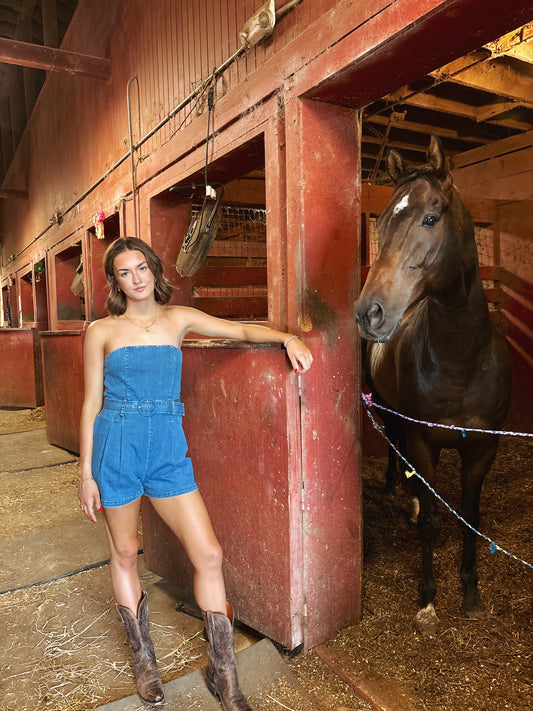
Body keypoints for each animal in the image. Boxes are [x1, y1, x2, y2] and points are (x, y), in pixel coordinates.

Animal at [354, 136, 512, 636]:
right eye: (382, 221)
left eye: (430, 217)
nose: (369, 312)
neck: (461, 361)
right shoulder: (424, 441)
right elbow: (427, 524)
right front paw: (427, 600)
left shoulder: (482, 449)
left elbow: (470, 519)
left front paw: (471, 593)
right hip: (386, 408)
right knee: (395, 446)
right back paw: (401, 490)